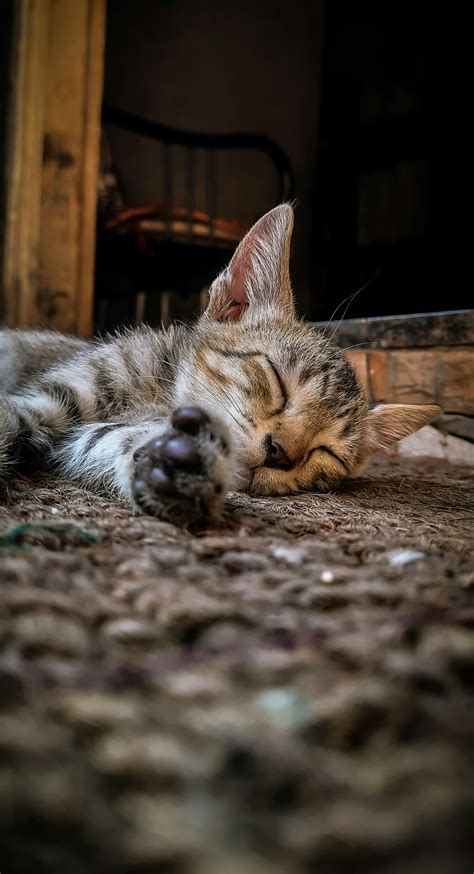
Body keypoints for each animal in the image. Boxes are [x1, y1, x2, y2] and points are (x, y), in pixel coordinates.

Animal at [0, 204, 436, 524]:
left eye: (326, 452)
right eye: (278, 381)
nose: (280, 453)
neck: (159, 392)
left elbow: (106, 438)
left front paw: (175, 464)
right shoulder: (58, 392)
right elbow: (14, 416)